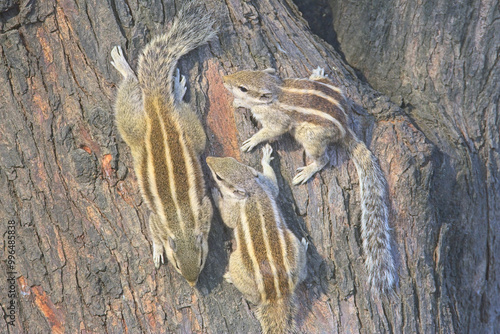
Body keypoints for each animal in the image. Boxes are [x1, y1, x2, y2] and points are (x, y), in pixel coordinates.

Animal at [110, 1, 216, 286]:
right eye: (178, 266)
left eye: (201, 261)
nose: (193, 284)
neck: (179, 221)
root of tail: (158, 108)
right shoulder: (156, 219)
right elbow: (153, 230)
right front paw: (158, 251)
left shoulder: (204, 211)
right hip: (140, 126)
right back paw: (127, 69)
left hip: (185, 129)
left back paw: (172, 89)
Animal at [205, 145, 306, 334]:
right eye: (230, 158)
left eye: (219, 177)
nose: (208, 159)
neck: (251, 189)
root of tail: (277, 292)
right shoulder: (266, 184)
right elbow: (274, 185)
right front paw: (266, 158)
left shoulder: (236, 208)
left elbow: (227, 217)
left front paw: (215, 195)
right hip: (293, 247)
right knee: (302, 276)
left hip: (237, 262)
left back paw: (231, 278)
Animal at [223, 67, 394, 290]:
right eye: (245, 71)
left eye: (243, 87)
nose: (224, 80)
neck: (276, 89)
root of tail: (345, 126)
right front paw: (240, 103)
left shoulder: (277, 121)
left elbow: (272, 131)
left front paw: (254, 139)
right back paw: (318, 73)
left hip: (310, 138)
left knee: (324, 159)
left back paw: (308, 171)